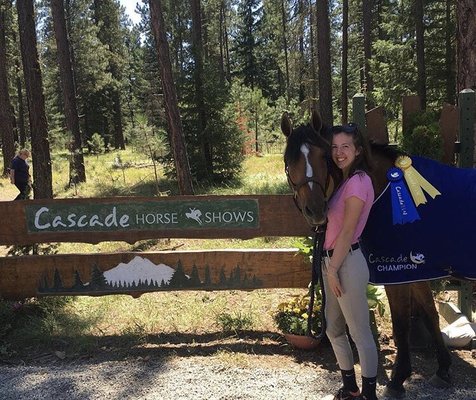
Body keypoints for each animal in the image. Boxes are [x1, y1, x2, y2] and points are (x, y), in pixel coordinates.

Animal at [280, 109, 452, 396]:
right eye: (288, 161)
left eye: (323, 156)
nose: (315, 210)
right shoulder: (417, 271)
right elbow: (430, 311)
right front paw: (442, 369)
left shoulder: (398, 274)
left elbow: (401, 321)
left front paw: (398, 379)